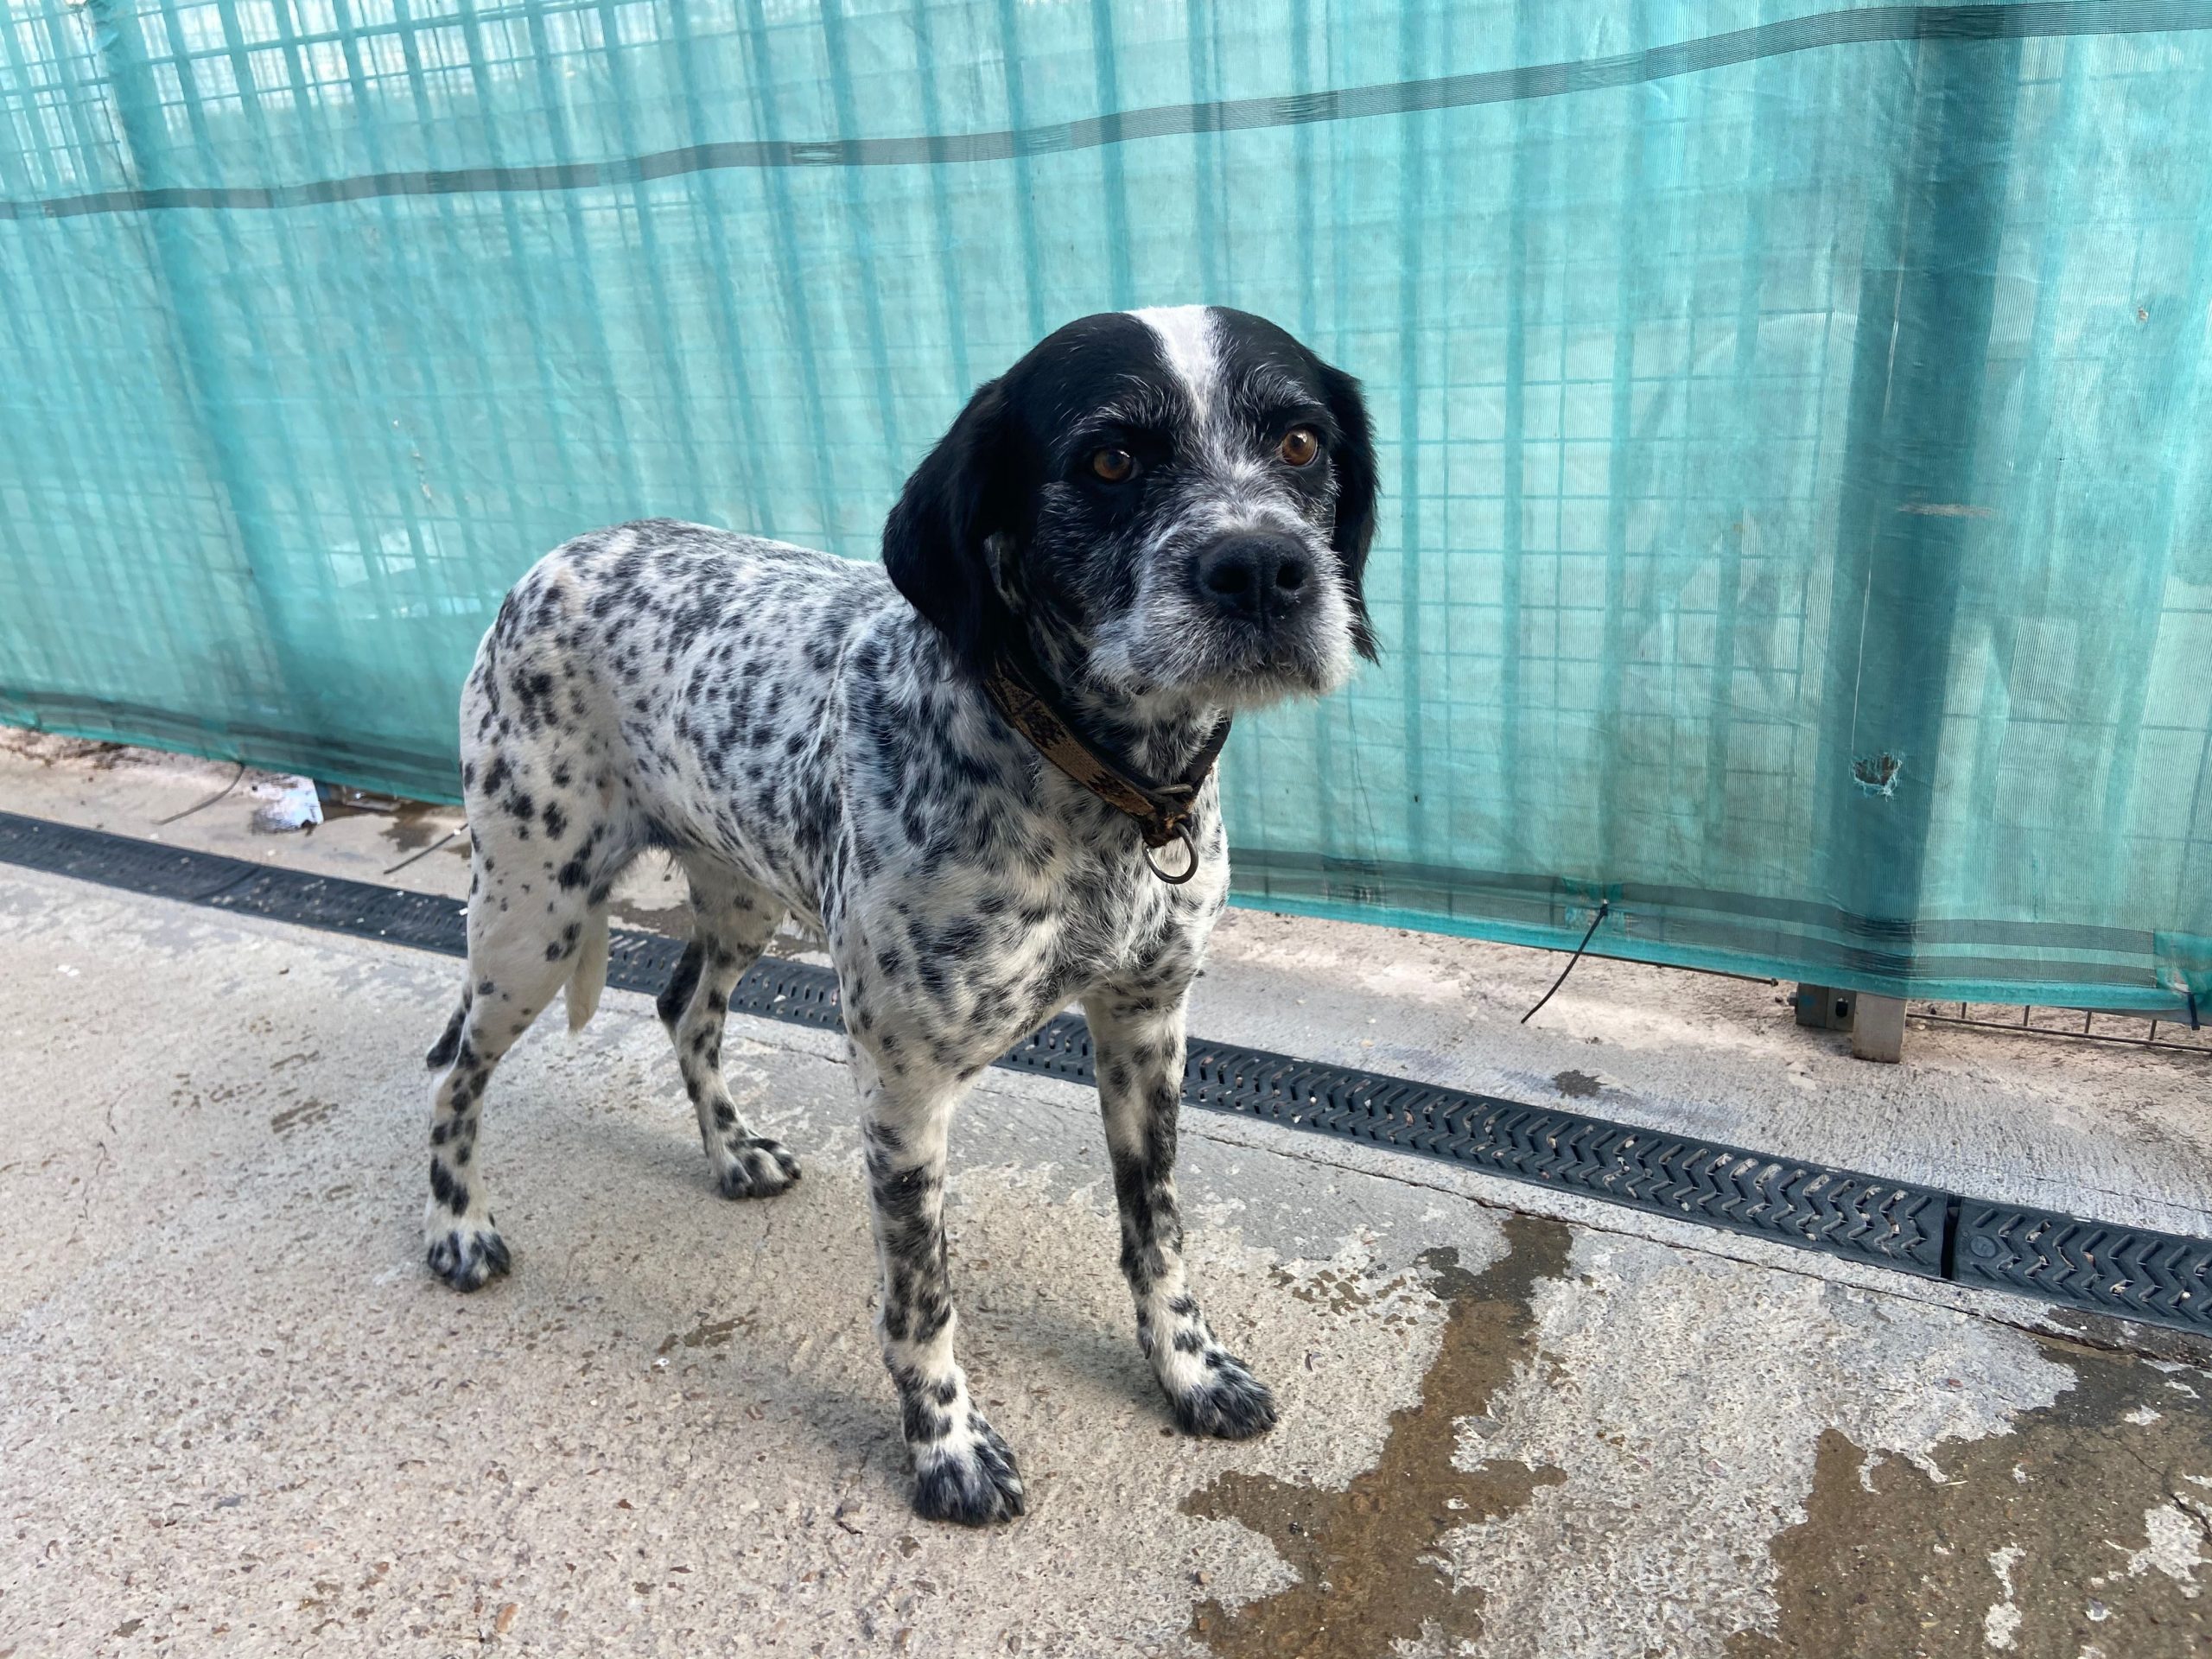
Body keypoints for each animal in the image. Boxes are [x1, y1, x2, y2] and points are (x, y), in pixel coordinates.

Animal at [423, 306, 1376, 1524]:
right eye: (1110, 459)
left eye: (1300, 444)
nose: (1262, 568)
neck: (1092, 783)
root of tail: (551, 557)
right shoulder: (905, 1086)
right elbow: (923, 1299)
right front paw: (947, 1449)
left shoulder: (1147, 1028)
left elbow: (1158, 1233)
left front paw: (1189, 1372)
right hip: (528, 919)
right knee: (457, 1071)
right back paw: (457, 1228)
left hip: (739, 894)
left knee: (686, 1007)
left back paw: (732, 1153)